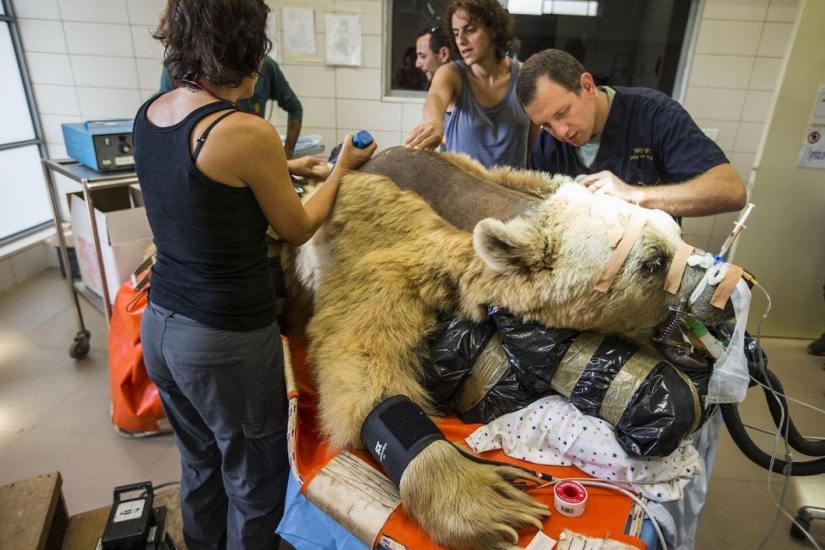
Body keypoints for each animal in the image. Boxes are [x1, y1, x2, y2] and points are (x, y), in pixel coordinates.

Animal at [284, 147, 732, 550]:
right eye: (652, 263)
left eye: (677, 233)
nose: (724, 296)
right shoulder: (392, 247)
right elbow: (356, 342)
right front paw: (476, 494)